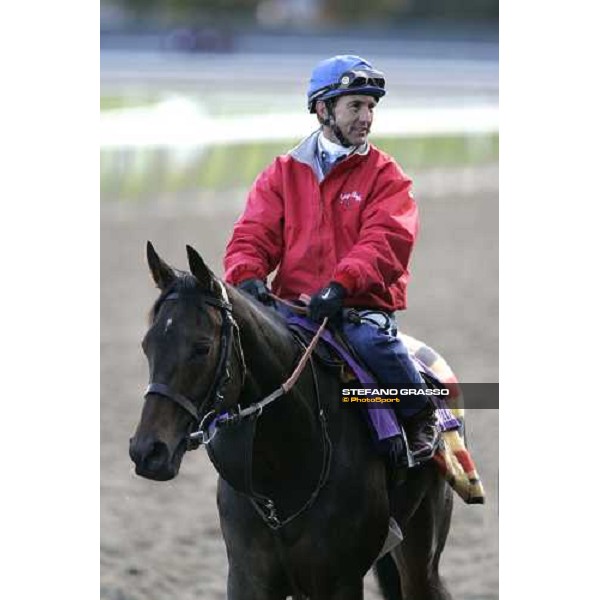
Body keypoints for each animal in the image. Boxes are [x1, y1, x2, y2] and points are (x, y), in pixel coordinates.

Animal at [129, 241, 452, 596]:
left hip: (420, 548)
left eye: (202, 347)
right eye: (147, 344)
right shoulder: (248, 578)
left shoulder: (340, 581)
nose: (148, 451)